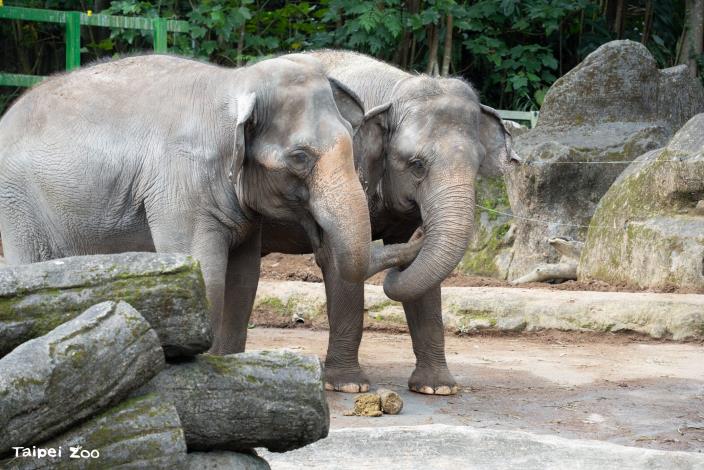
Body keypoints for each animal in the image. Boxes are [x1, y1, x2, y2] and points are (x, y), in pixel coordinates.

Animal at [0, 53, 400, 354]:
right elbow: (206, 276)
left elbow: (243, 282)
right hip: (18, 204)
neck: (235, 83)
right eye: (300, 157)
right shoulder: (179, 187)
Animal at [261, 50, 519, 395]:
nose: (423, 231)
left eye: (478, 164)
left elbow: (422, 280)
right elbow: (340, 261)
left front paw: (437, 388)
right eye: (417, 165)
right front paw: (349, 386)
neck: (394, 90)